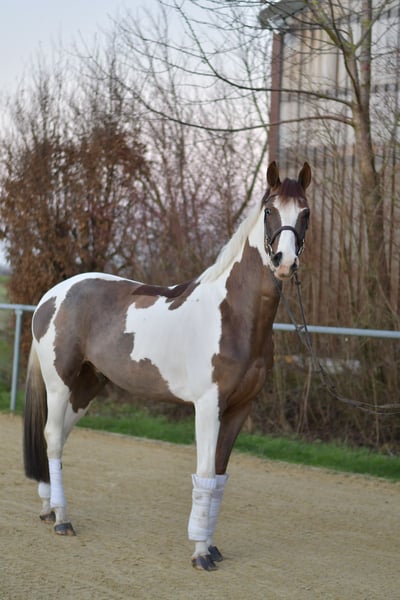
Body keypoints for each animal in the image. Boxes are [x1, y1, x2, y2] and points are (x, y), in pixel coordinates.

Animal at [23, 161, 311, 571]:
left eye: (305, 213)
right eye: (270, 210)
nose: (284, 262)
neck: (233, 315)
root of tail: (52, 296)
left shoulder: (240, 408)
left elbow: (219, 475)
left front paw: (211, 546)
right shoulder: (207, 407)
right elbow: (204, 473)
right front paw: (200, 553)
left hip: (87, 387)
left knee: (59, 438)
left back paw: (49, 509)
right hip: (59, 382)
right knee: (50, 436)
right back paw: (62, 519)